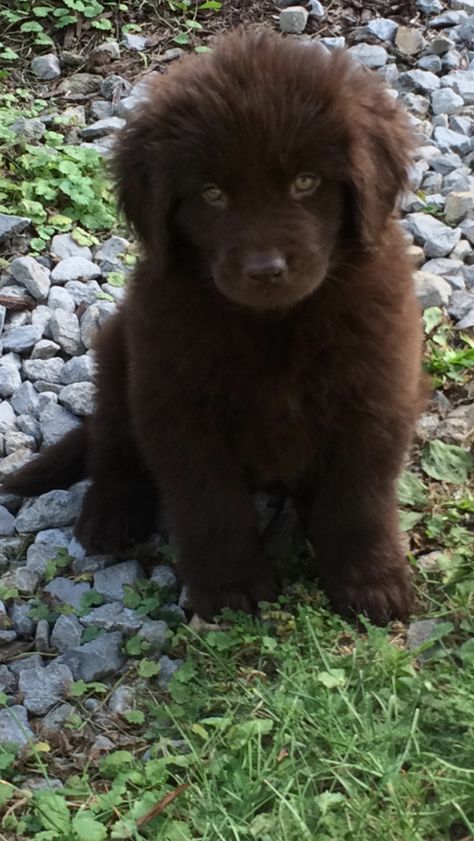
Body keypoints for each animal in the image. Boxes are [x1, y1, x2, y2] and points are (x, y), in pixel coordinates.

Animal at [5, 31, 424, 624]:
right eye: (212, 194)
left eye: (306, 182)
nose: (265, 269)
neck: (274, 327)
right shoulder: (179, 406)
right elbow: (210, 505)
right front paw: (230, 589)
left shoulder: (375, 395)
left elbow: (359, 502)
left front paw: (369, 582)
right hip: (119, 354)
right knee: (111, 440)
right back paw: (111, 513)